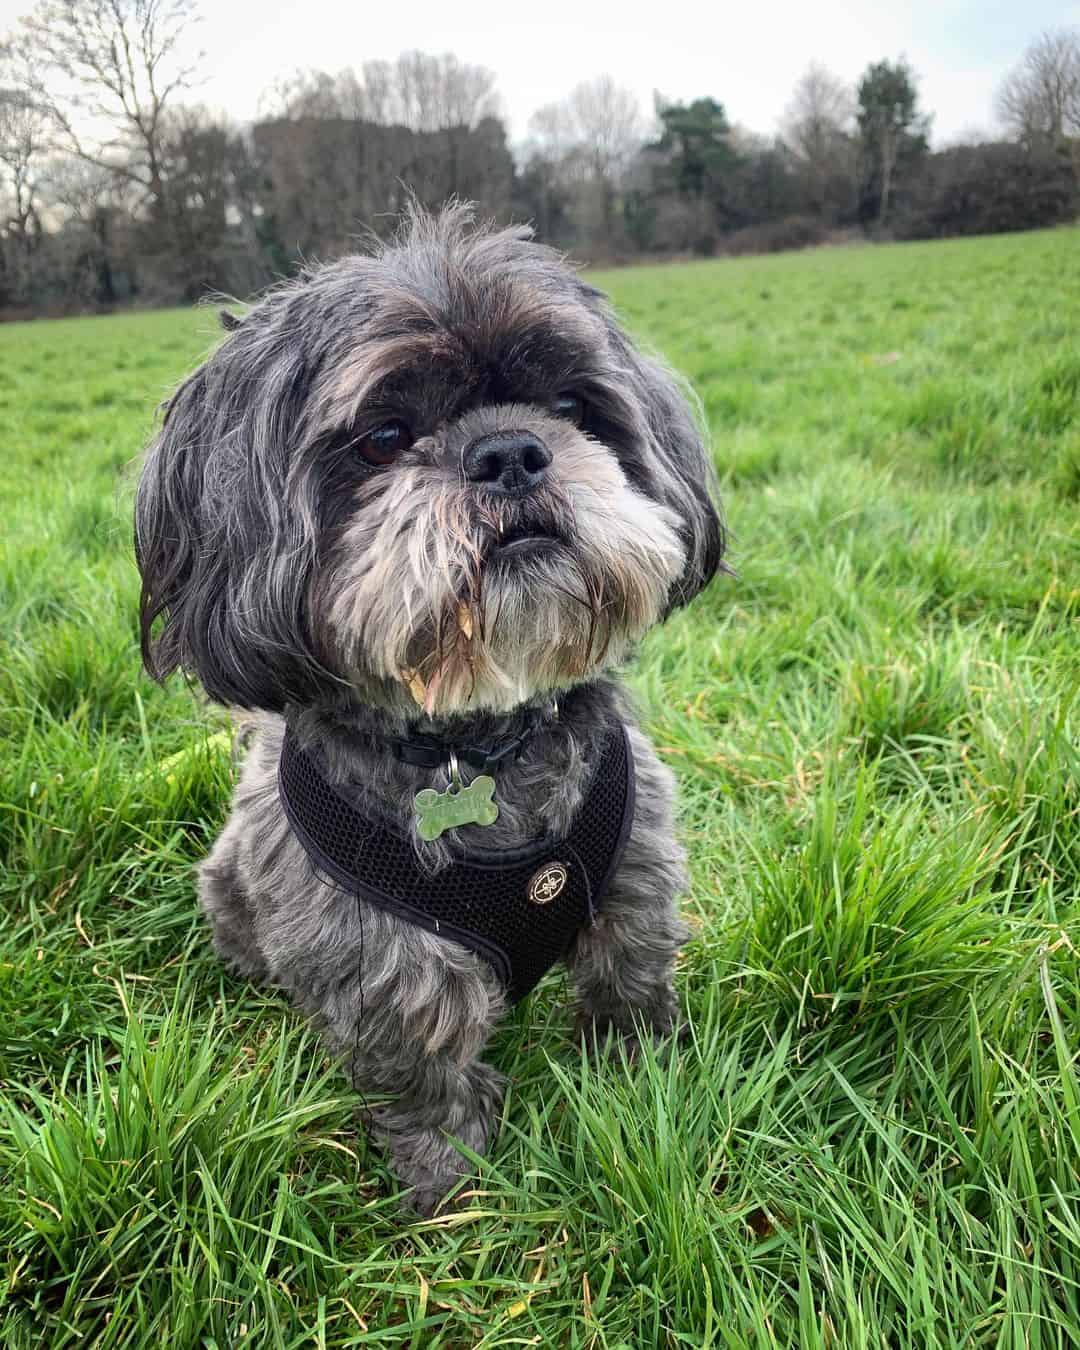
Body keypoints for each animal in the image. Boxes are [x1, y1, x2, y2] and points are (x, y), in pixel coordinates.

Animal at [135, 205, 723, 1220]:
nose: (510, 452)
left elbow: (629, 983)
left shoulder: (635, 874)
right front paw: (449, 1181)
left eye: (573, 408)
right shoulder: (374, 952)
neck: (480, 740)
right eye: (383, 436)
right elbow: (421, 1060)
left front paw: (643, 1084)